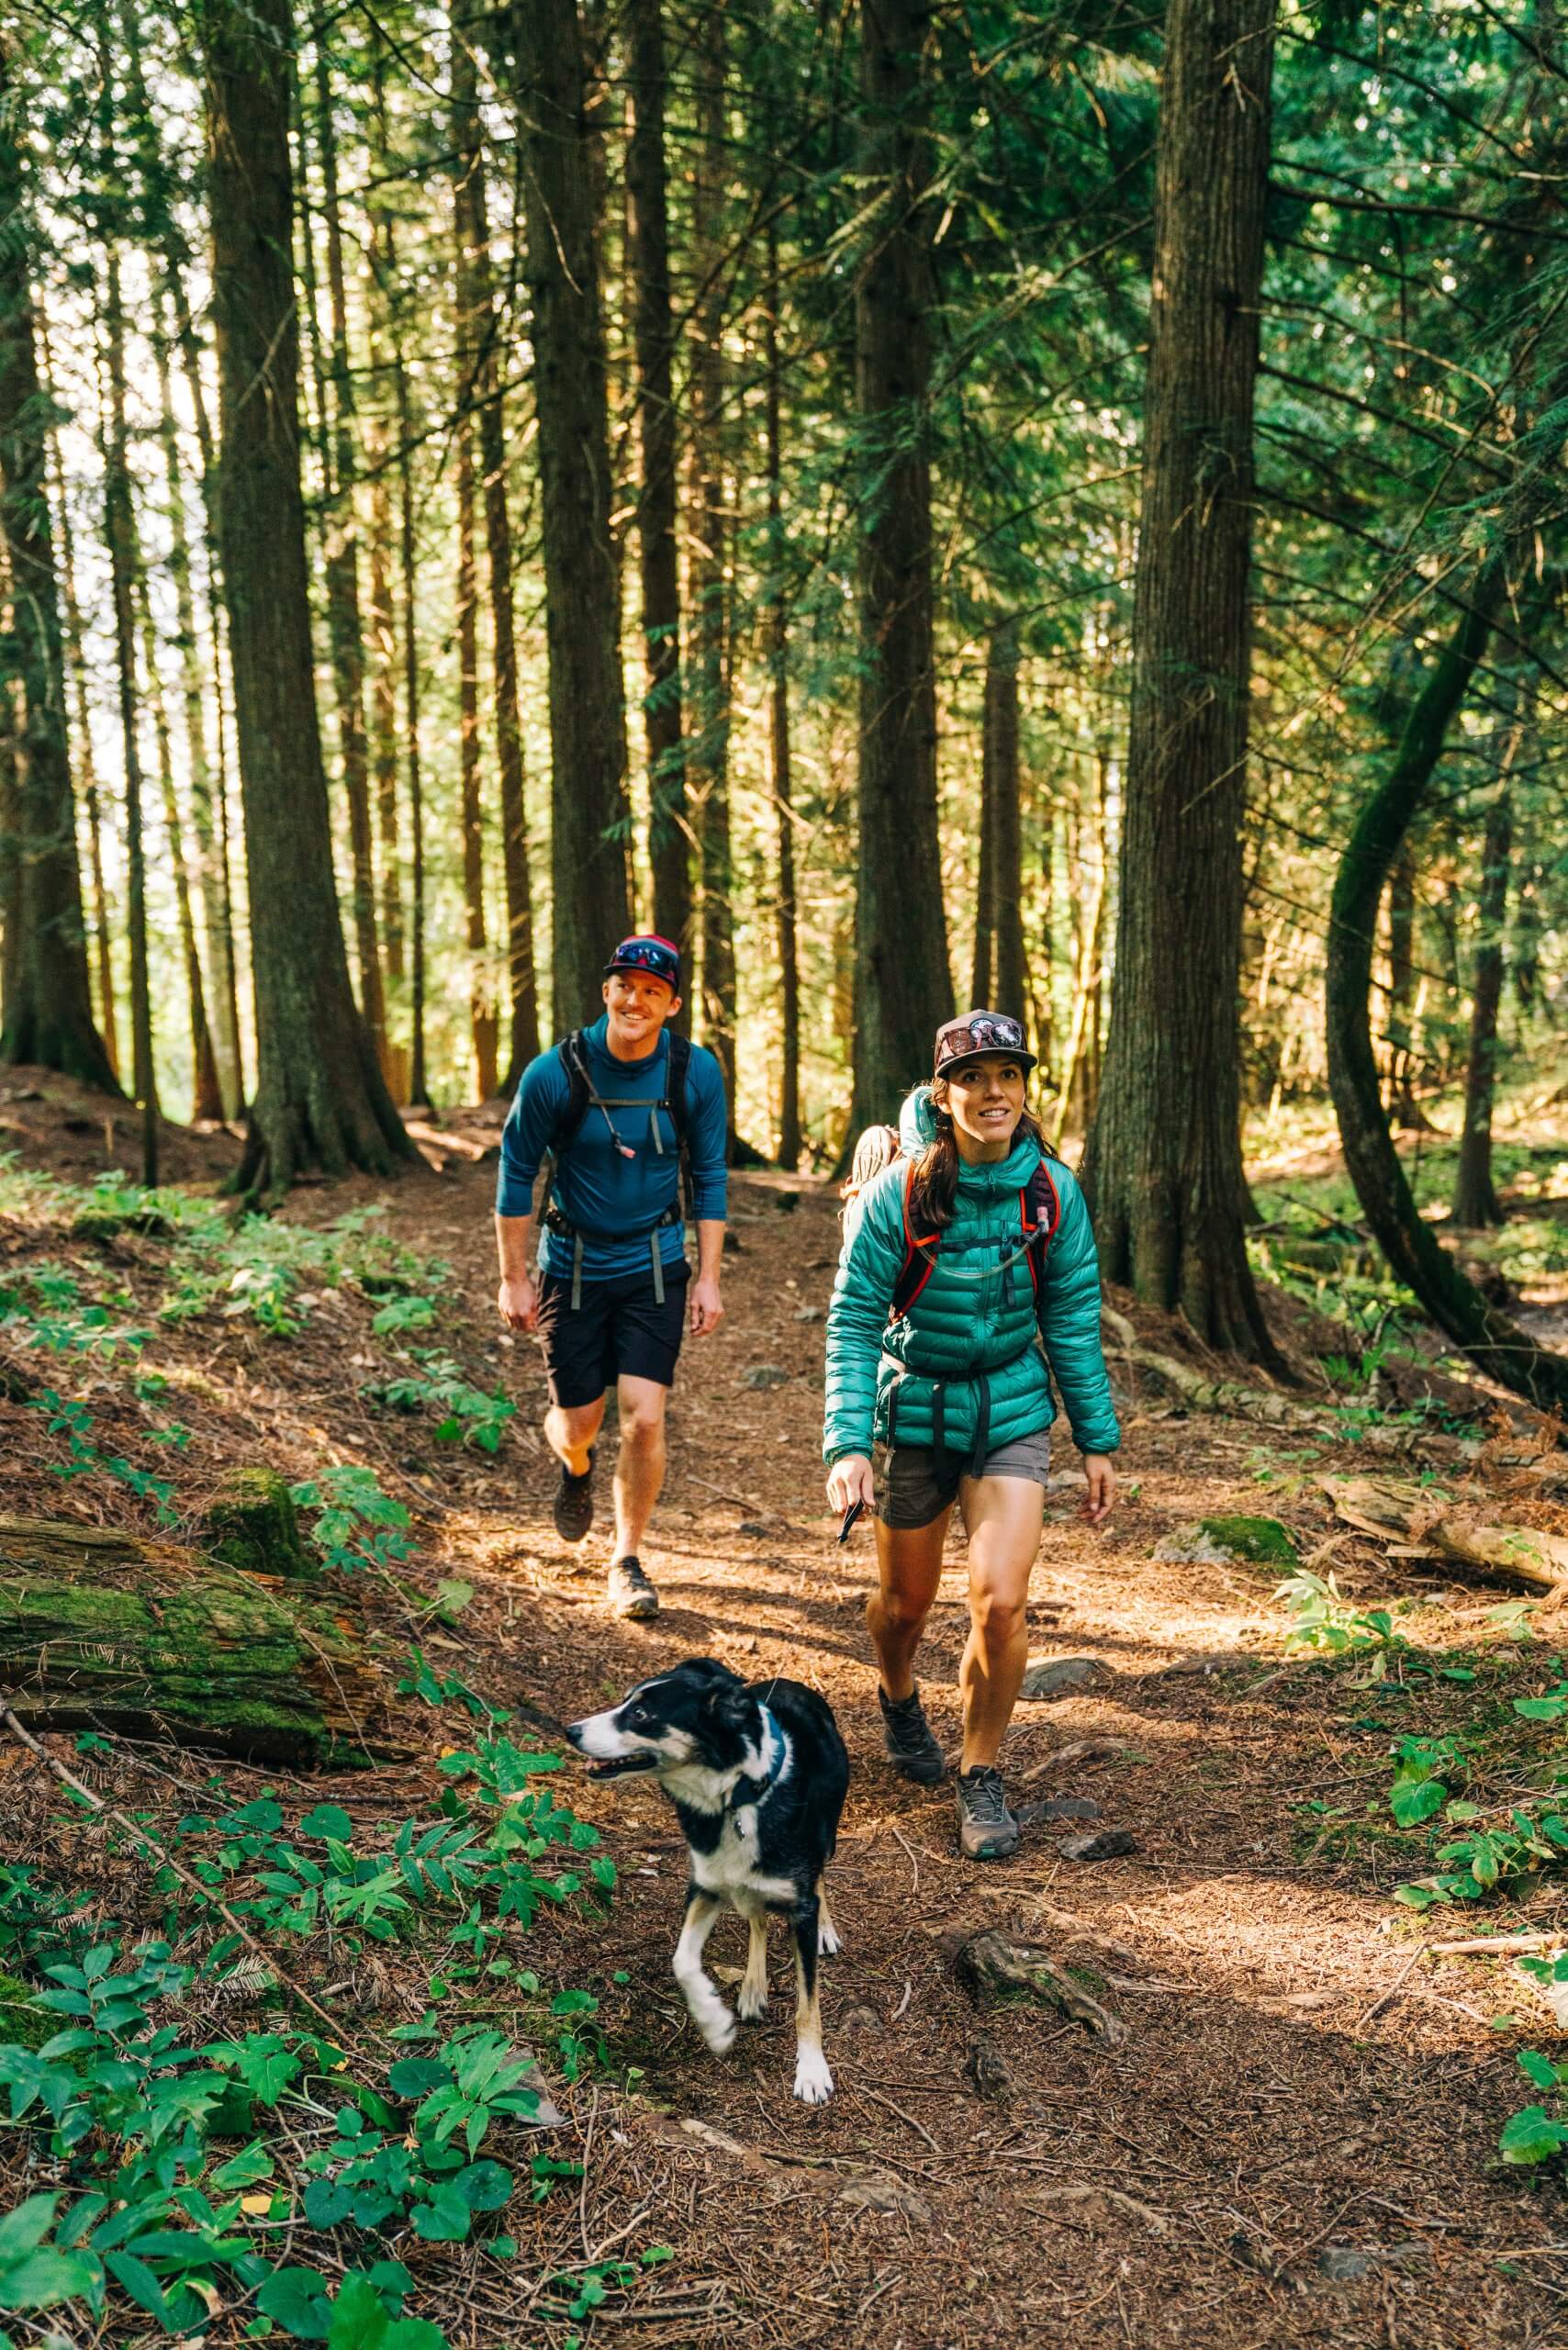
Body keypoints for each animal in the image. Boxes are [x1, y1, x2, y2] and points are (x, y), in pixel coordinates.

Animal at [571, 1663, 850, 2105]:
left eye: (641, 1715)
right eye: (625, 1701)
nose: (571, 1731)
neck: (737, 1798)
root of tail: (792, 1682)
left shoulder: (798, 1900)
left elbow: (808, 2004)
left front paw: (811, 2071)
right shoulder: (706, 1885)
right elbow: (683, 1961)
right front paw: (714, 2023)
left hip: (826, 1836)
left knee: (818, 1881)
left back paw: (824, 1931)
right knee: (756, 1917)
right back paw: (753, 1987)